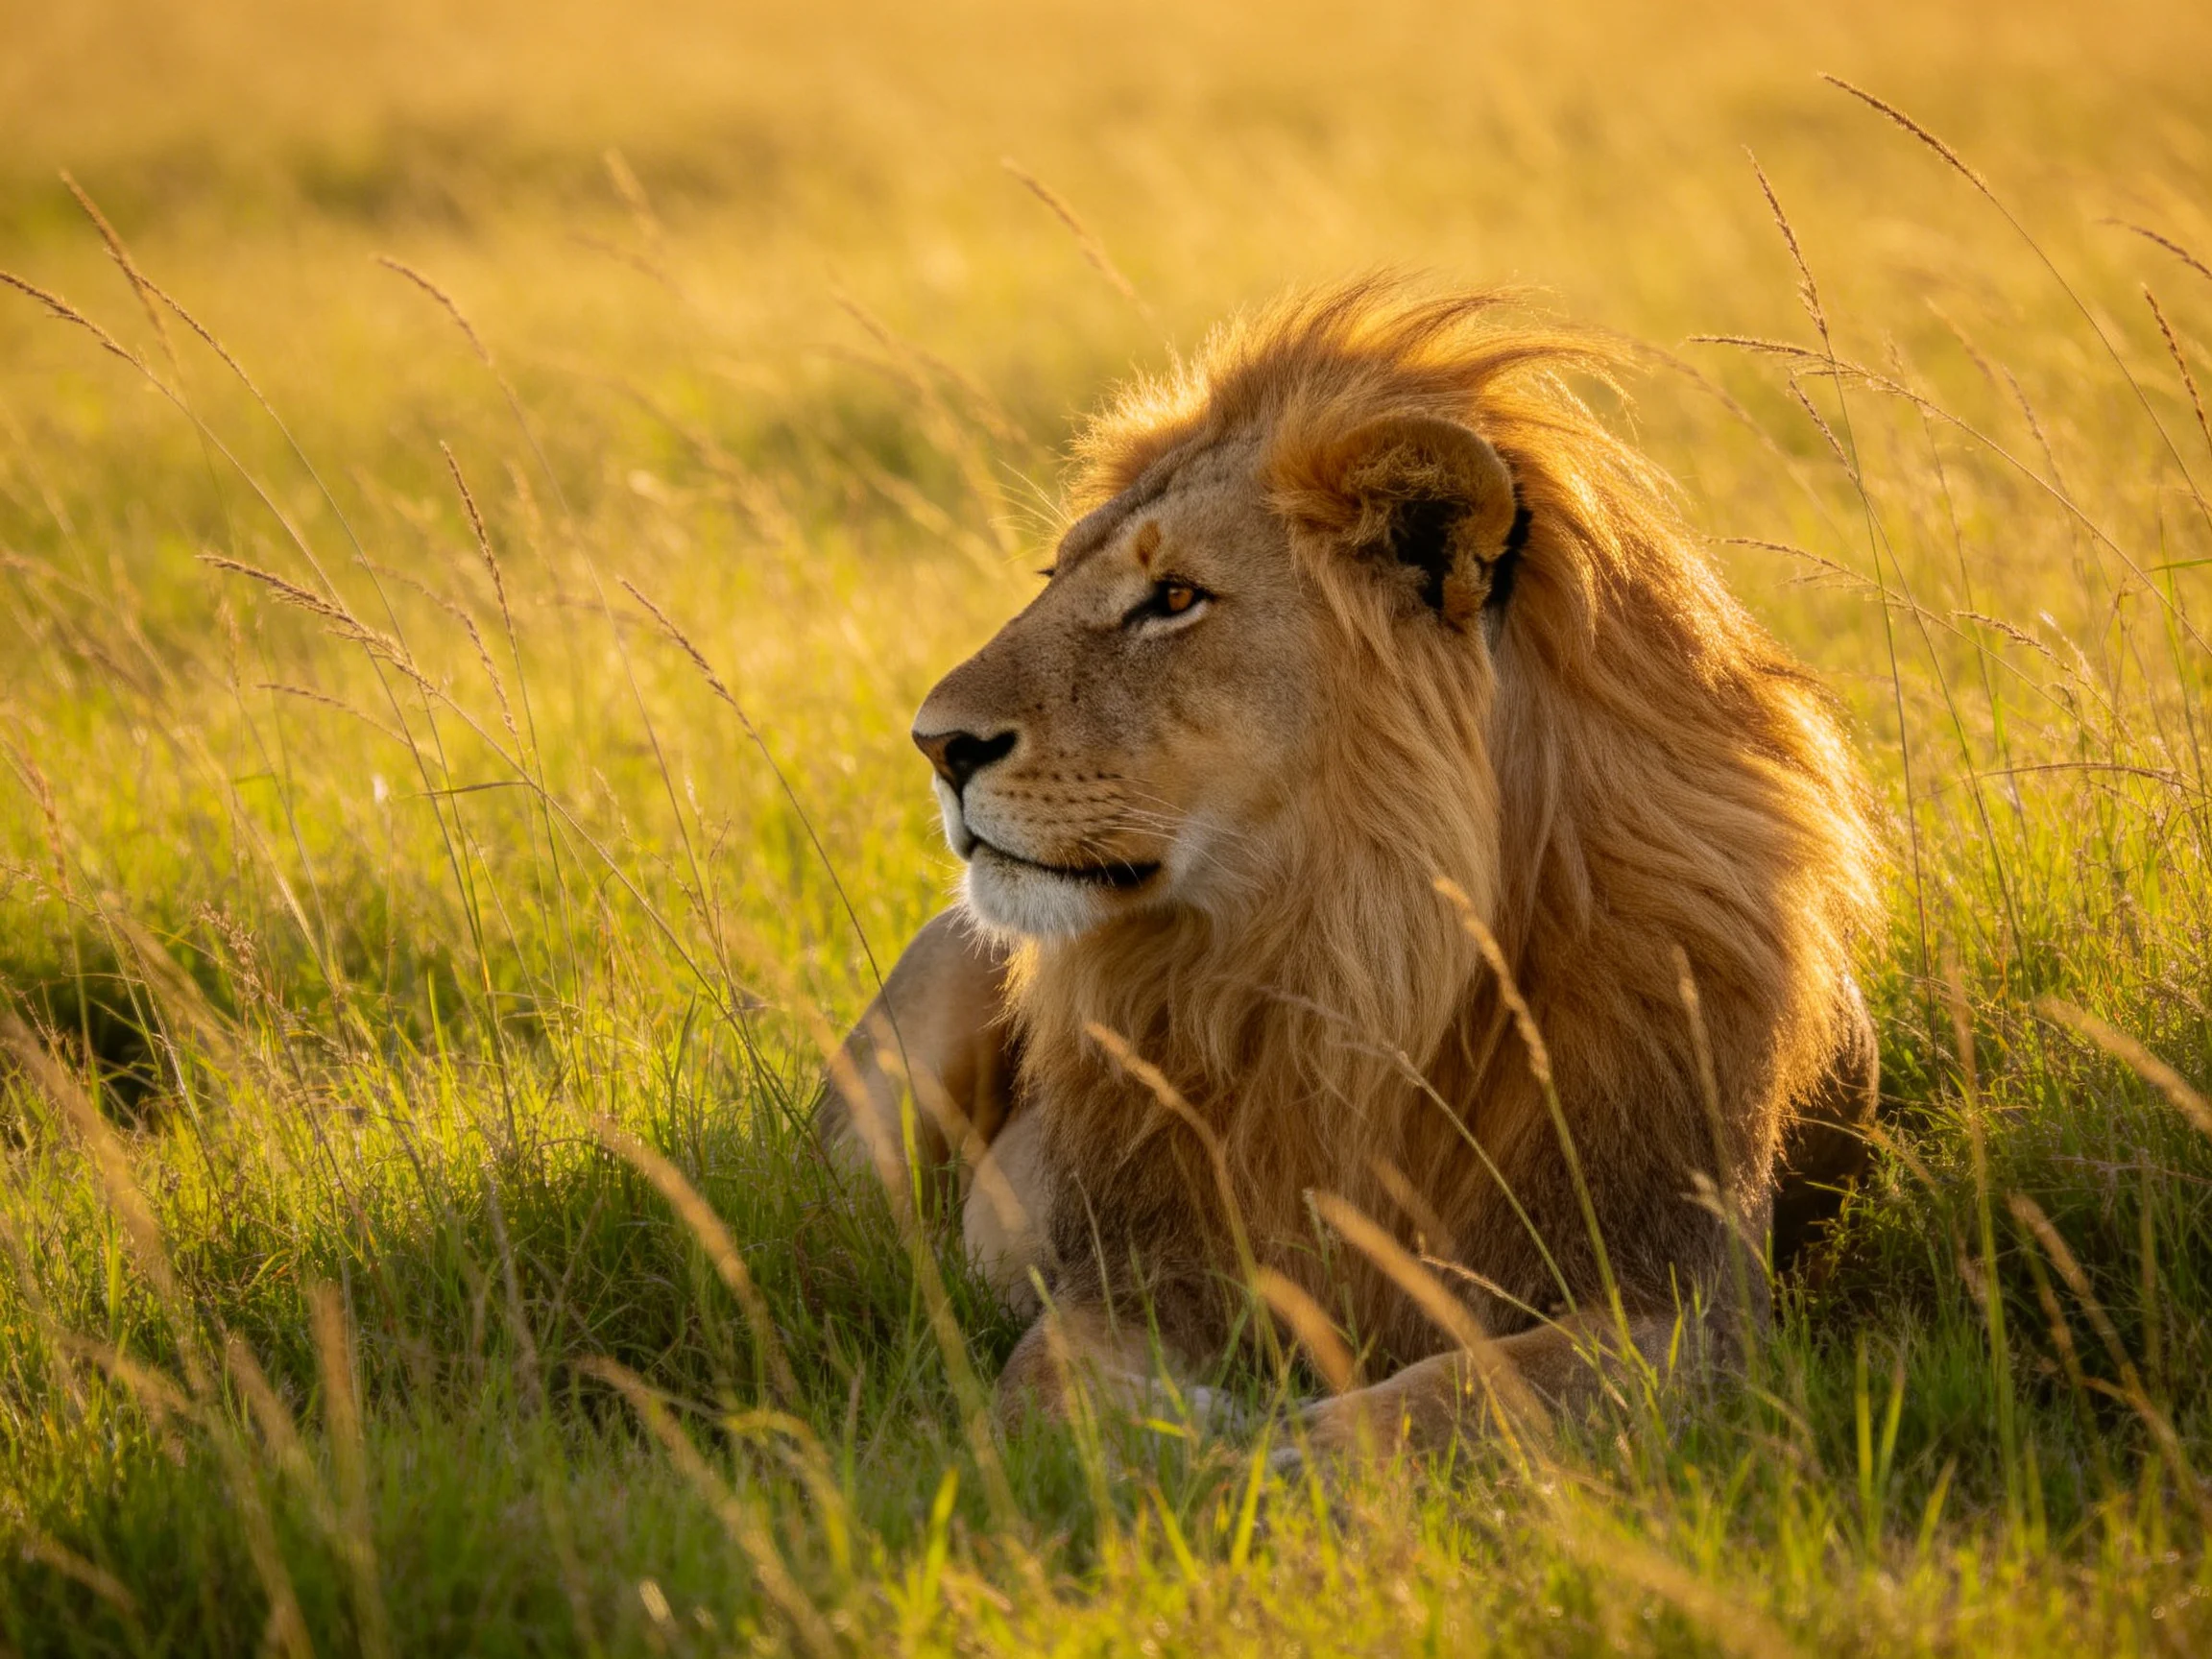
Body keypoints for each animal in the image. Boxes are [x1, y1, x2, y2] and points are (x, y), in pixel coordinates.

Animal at [821, 280, 1882, 1455]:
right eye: (1054, 577)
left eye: (1175, 597)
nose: (935, 744)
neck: (1346, 960)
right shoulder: (1136, 1270)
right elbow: (1041, 1385)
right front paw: (1173, 1435)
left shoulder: (1687, 1301)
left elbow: (1463, 1399)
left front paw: (1264, 1456)